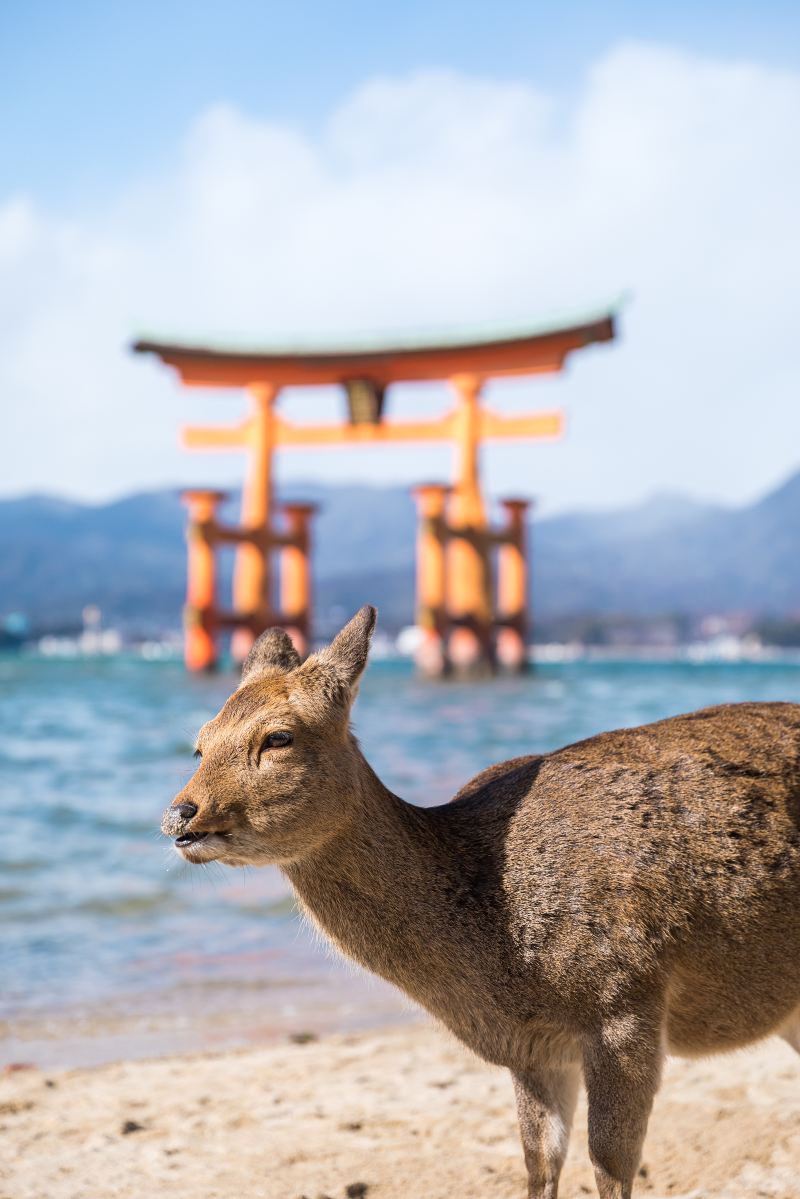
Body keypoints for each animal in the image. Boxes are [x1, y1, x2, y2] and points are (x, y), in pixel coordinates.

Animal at [160, 609, 800, 1199]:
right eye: (199, 743)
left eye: (279, 737)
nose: (179, 815)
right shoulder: (535, 1050)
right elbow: (540, 1164)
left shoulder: (627, 1000)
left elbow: (611, 1167)